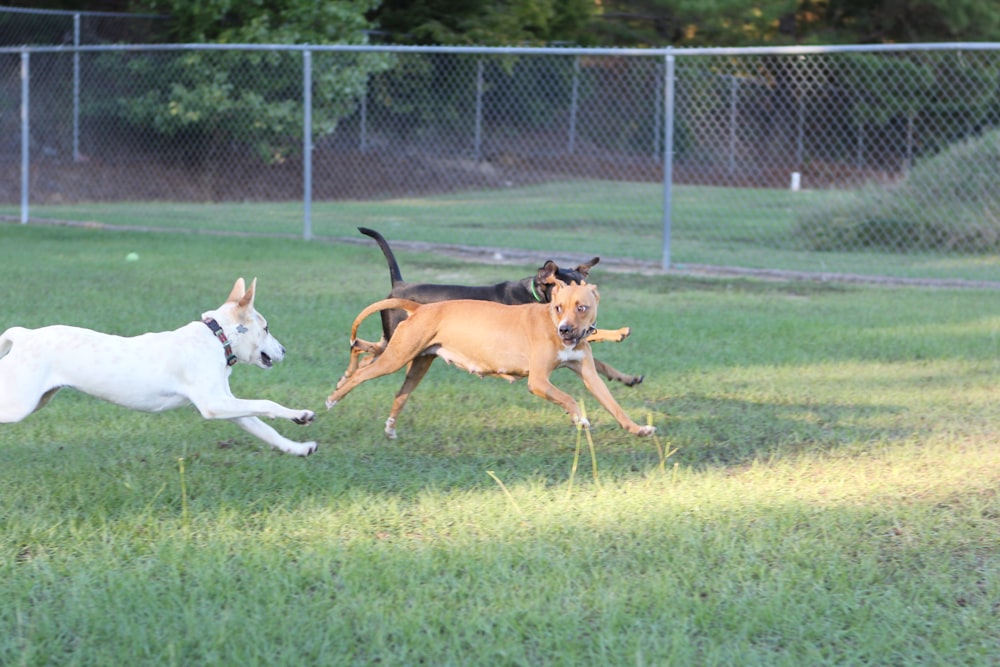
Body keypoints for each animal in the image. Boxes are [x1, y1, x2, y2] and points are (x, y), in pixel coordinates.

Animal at [0, 280, 316, 456]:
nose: (284, 350)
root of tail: (24, 335)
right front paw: (300, 414)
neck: (216, 337)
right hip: (18, 403)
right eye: (267, 328)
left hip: (38, 399)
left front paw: (299, 448)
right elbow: (266, 403)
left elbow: (264, 429)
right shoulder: (214, 404)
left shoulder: (227, 403)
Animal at [326, 280, 656, 440]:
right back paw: (334, 396)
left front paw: (639, 429)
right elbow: (569, 398)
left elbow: (614, 406)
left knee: (399, 394)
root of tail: (419, 308)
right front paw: (580, 419)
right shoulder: (538, 381)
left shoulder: (589, 375)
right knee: (361, 371)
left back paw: (391, 428)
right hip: (396, 357)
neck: (549, 321)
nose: (565, 330)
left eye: (582, 307)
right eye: (559, 307)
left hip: (417, 364)